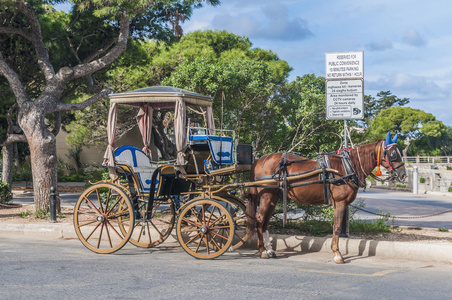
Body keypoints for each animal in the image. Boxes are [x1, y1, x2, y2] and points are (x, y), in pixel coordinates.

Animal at [245, 135, 408, 264]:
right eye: (393, 154)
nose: (403, 174)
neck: (348, 166)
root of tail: (260, 160)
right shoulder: (340, 202)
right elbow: (337, 227)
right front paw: (337, 254)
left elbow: (336, 226)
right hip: (266, 195)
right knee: (259, 218)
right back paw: (262, 251)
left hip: (274, 196)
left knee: (265, 221)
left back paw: (269, 250)